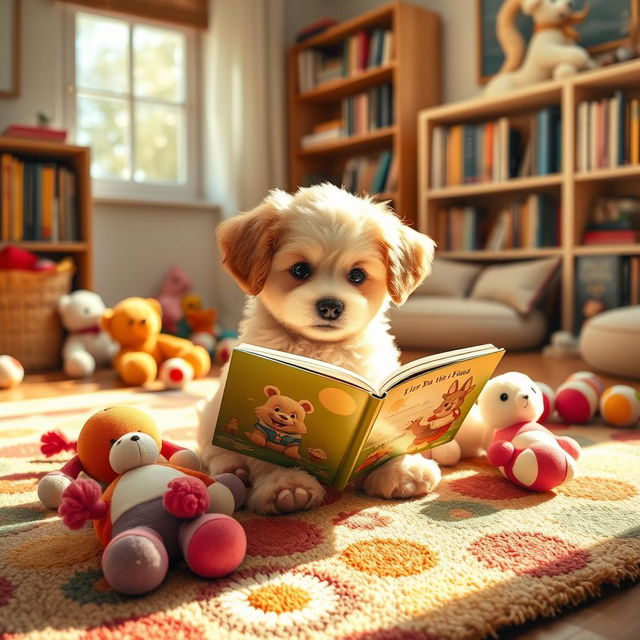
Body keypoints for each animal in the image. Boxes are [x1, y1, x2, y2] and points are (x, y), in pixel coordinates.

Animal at [199, 182, 440, 512]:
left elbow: (385, 429)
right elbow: (264, 453)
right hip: (209, 417)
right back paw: (233, 468)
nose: (330, 306)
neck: (321, 351)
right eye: (300, 270)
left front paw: (398, 469)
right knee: (214, 454)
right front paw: (286, 483)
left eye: (357, 275)